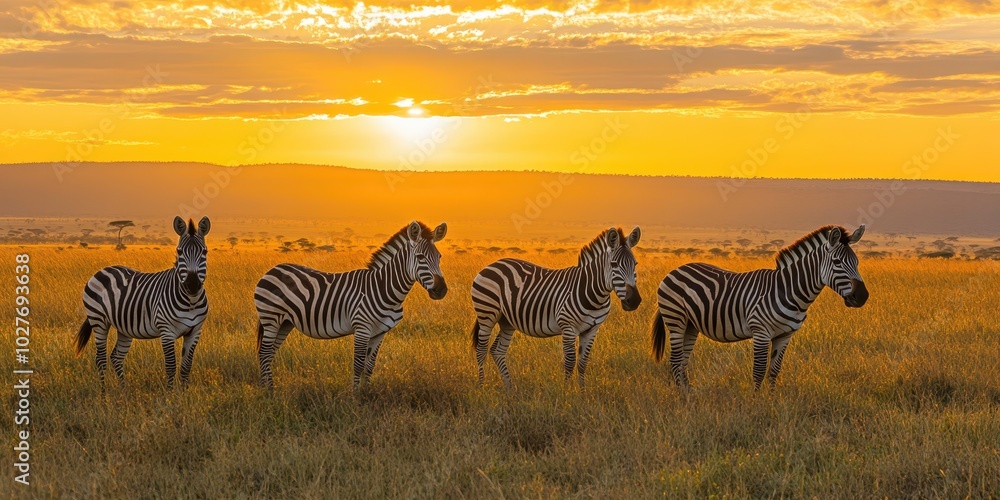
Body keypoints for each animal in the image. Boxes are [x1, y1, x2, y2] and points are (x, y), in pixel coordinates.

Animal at [75, 216, 211, 390]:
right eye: (179, 252)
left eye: (204, 251)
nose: (192, 285)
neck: (190, 302)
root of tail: (104, 269)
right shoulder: (167, 331)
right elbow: (171, 366)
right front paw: (171, 394)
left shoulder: (195, 332)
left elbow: (186, 367)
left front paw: (185, 393)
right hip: (98, 320)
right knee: (101, 360)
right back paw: (104, 394)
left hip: (124, 327)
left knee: (116, 357)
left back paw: (124, 392)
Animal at [254, 221, 448, 390]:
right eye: (420, 257)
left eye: (439, 257)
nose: (441, 290)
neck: (383, 289)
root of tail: (273, 269)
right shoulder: (362, 328)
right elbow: (358, 364)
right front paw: (355, 397)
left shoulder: (380, 332)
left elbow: (369, 366)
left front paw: (367, 393)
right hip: (271, 318)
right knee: (264, 353)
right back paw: (269, 392)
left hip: (285, 323)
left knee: (269, 353)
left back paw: (266, 388)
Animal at [472, 226, 642, 389]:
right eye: (614, 265)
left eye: (635, 264)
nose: (634, 301)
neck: (594, 296)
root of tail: (493, 264)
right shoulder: (568, 327)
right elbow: (570, 362)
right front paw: (566, 392)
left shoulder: (592, 330)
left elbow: (582, 364)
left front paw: (583, 393)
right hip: (487, 313)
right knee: (481, 350)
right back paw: (482, 387)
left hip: (507, 320)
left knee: (497, 350)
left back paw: (509, 389)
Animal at [651, 225, 869, 390]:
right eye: (837, 262)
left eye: (857, 261)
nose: (863, 296)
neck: (788, 291)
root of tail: (675, 269)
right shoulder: (761, 332)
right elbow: (758, 370)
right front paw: (756, 403)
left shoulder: (785, 335)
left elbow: (774, 370)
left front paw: (771, 400)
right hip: (676, 320)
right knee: (675, 361)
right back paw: (682, 397)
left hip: (691, 325)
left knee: (683, 361)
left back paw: (687, 394)